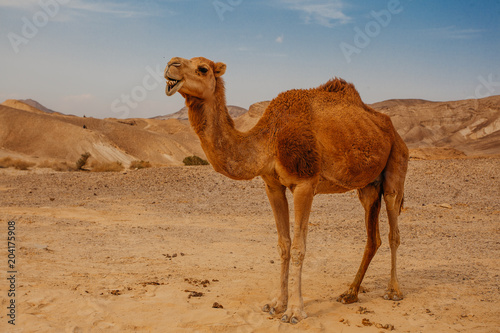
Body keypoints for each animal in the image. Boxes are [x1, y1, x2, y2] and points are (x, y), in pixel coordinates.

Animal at [166, 56, 408, 322]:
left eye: (203, 69)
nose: (171, 64)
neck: (269, 139)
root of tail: (392, 129)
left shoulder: (305, 183)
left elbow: (299, 247)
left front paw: (294, 311)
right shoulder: (272, 185)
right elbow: (283, 244)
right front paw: (276, 304)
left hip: (396, 164)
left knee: (393, 230)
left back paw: (393, 291)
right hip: (368, 186)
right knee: (372, 237)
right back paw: (350, 293)